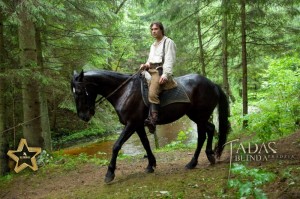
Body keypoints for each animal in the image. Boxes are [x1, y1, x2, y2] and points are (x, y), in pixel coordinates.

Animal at [71, 70, 230, 183]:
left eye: (79, 92)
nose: (83, 116)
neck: (125, 92)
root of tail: (212, 84)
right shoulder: (138, 125)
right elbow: (146, 144)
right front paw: (151, 165)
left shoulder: (131, 124)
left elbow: (116, 146)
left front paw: (110, 173)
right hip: (197, 116)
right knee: (210, 129)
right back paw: (210, 155)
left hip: (199, 116)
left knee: (202, 135)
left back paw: (193, 163)